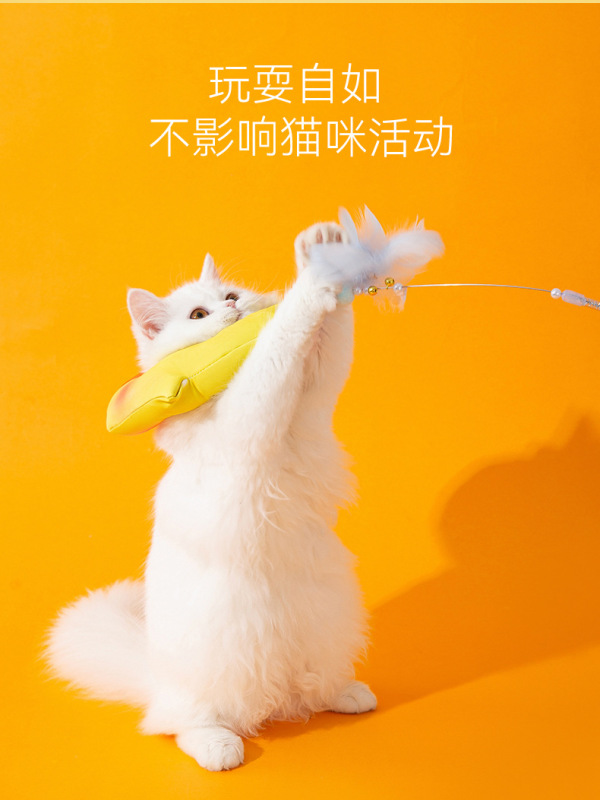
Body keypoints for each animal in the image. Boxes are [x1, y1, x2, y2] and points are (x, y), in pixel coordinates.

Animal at [46, 220, 377, 772]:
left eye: (231, 296)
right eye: (199, 316)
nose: (233, 311)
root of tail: (155, 677)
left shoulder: (314, 396)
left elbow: (329, 339)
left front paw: (326, 252)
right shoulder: (252, 414)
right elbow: (280, 340)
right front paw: (307, 280)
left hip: (325, 626)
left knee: (312, 688)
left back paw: (345, 694)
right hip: (211, 675)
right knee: (178, 724)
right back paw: (219, 747)